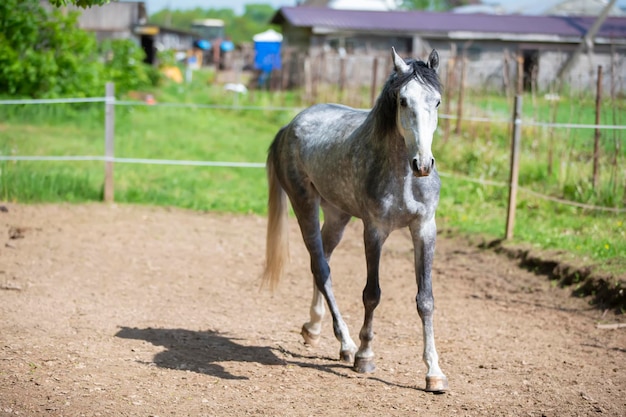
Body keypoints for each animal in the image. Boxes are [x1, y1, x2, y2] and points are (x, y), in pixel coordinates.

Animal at [260, 48, 446, 394]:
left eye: (437, 101)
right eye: (403, 101)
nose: (423, 164)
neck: (402, 175)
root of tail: (290, 125)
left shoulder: (425, 228)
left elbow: (425, 300)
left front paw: (434, 374)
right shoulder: (374, 230)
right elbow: (372, 294)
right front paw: (365, 356)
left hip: (338, 215)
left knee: (322, 262)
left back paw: (313, 329)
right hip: (305, 205)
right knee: (321, 269)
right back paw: (345, 344)